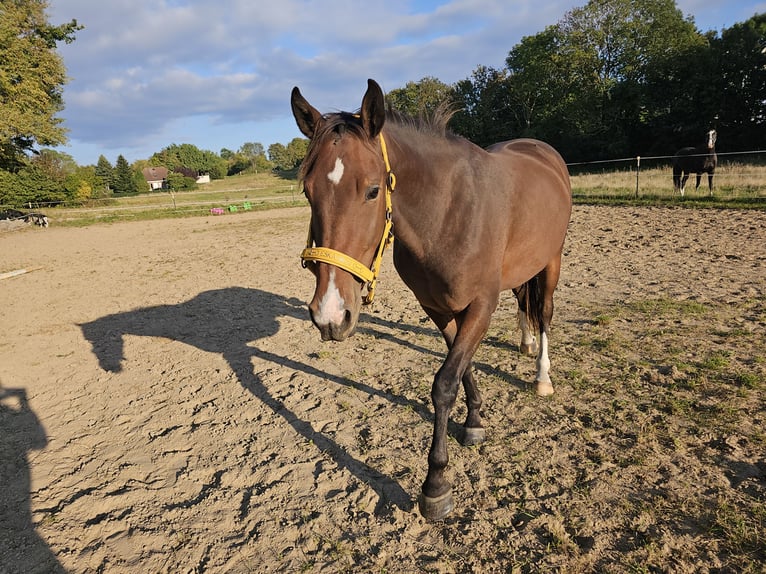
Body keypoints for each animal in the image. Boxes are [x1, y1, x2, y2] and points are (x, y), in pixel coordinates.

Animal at [291, 79, 572, 520]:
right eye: (307, 191)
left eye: (372, 191)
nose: (330, 314)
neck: (447, 213)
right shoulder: (437, 308)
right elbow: (462, 365)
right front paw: (475, 419)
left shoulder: (481, 306)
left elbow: (444, 383)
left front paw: (436, 483)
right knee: (523, 302)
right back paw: (525, 343)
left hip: (552, 259)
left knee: (542, 312)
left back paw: (542, 375)